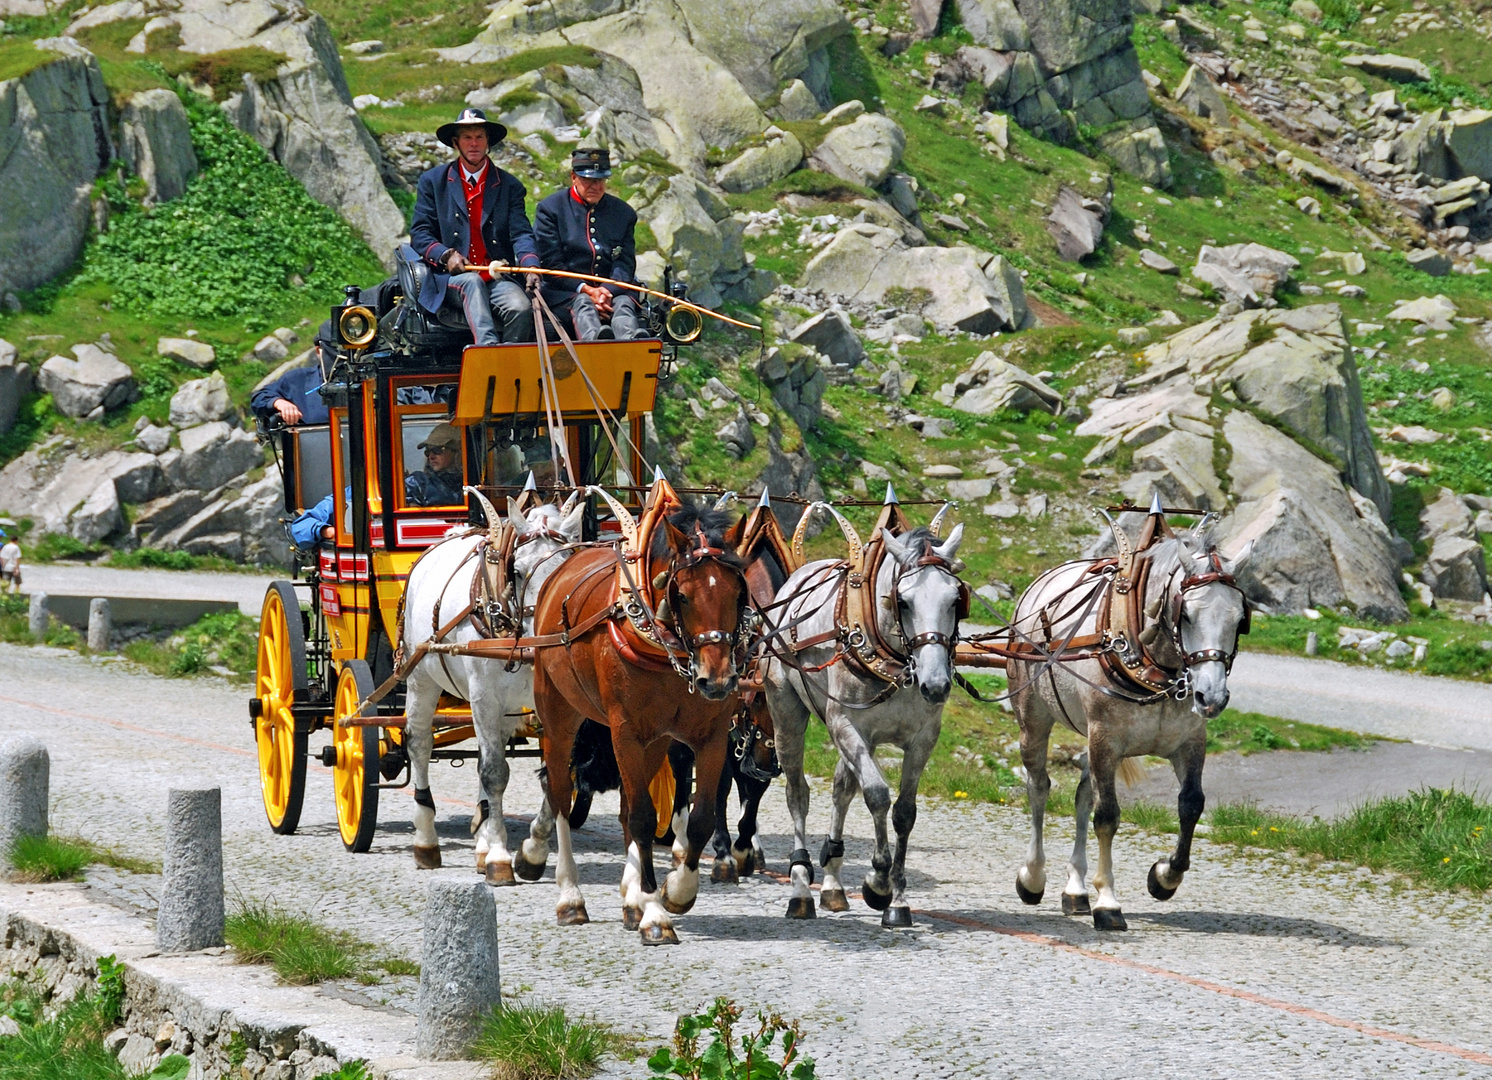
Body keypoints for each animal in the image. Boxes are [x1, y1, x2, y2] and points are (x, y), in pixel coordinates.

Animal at [399, 489, 584, 877]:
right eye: (518, 570)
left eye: (566, 569)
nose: (543, 635)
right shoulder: (483, 696)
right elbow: (495, 772)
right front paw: (500, 856)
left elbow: (555, 774)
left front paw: (531, 852)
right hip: (422, 679)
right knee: (420, 745)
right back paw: (427, 840)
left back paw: (481, 841)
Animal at [531, 501, 751, 942]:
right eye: (682, 595)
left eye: (738, 594)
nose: (717, 680)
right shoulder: (625, 732)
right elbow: (645, 819)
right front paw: (655, 913)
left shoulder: (711, 736)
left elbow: (698, 819)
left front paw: (675, 892)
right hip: (558, 713)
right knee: (560, 793)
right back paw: (570, 896)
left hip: (655, 741)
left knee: (626, 807)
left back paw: (631, 896)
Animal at [757, 522, 966, 930]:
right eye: (903, 601)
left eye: (955, 599)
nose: (936, 685)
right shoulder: (845, 725)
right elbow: (877, 795)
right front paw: (878, 882)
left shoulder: (922, 740)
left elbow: (903, 812)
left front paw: (898, 901)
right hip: (787, 714)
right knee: (798, 794)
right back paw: (801, 887)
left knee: (841, 791)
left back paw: (833, 884)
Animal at [1008, 522, 1253, 930]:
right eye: (1187, 614)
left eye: (1239, 619)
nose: (1212, 696)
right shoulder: (1105, 739)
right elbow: (1107, 817)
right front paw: (1107, 901)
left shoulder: (1189, 742)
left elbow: (1191, 804)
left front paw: (1164, 877)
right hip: (1034, 717)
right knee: (1039, 788)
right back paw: (1033, 876)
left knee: (1082, 795)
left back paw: (1075, 889)